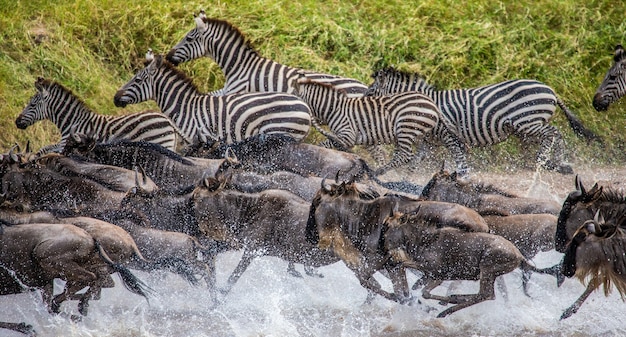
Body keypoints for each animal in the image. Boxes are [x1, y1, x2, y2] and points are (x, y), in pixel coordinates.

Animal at [15, 77, 182, 153]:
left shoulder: (66, 143)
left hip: (160, 142)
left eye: (32, 105)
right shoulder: (62, 144)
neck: (72, 121)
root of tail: (168, 121)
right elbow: (45, 148)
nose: (17, 121)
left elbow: (46, 150)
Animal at [165, 10, 366, 96]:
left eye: (188, 39)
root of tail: (364, 86)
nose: (167, 56)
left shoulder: (238, 91)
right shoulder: (228, 89)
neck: (239, 66)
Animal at [292, 76, 438, 176]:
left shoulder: (348, 136)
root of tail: (432, 104)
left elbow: (323, 145)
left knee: (405, 155)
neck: (335, 109)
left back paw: (378, 172)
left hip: (406, 129)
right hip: (416, 136)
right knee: (414, 156)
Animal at [366, 66, 600, 175]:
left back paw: (545, 161)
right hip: (529, 127)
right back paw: (558, 163)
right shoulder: (430, 142)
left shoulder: (448, 135)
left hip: (528, 122)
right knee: (555, 135)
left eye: (370, 93)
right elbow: (414, 164)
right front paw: (408, 180)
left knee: (553, 134)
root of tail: (550, 89)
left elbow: (459, 159)